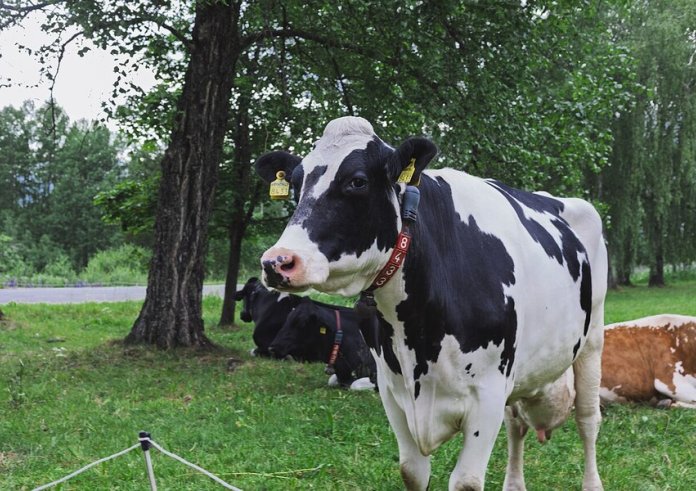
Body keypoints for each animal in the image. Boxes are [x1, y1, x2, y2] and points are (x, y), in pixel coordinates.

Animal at [254, 116, 607, 490]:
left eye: (357, 181)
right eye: (295, 185)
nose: (278, 261)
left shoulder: (488, 393)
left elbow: (466, 481)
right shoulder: (393, 392)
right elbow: (412, 471)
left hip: (592, 340)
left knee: (587, 419)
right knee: (516, 424)